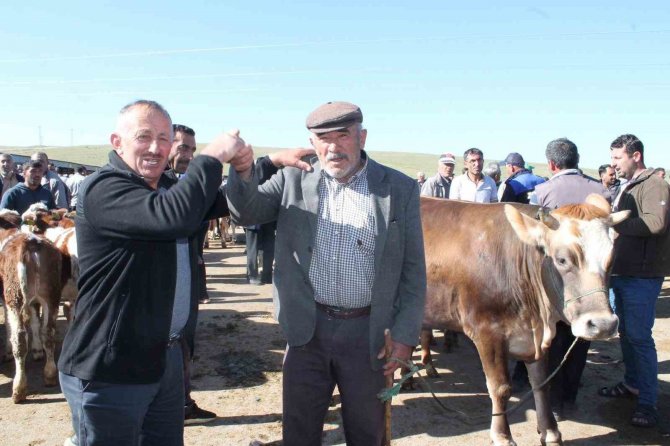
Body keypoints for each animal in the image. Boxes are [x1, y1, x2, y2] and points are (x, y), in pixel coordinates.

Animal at [0, 228, 62, 402]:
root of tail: (30, 242)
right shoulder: (35, 301)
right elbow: (35, 322)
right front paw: (37, 350)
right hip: (51, 294)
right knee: (48, 332)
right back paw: (50, 375)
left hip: (14, 295)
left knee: (19, 337)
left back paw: (19, 389)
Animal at [418, 196, 632, 446]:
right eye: (561, 259)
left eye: (611, 259)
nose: (603, 324)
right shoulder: (487, 332)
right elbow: (500, 388)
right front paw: (502, 435)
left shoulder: (536, 338)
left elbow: (541, 383)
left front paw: (550, 431)